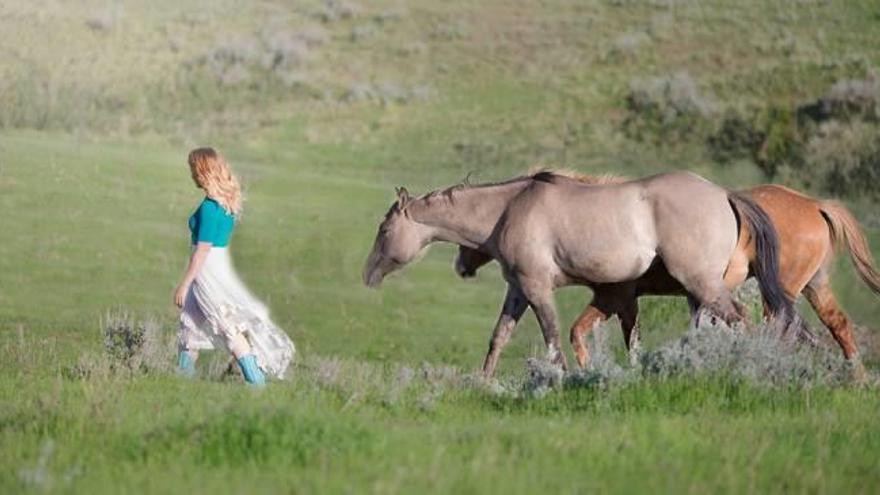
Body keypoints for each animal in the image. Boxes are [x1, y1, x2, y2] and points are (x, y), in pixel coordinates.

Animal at [364, 170, 792, 376]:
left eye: (384, 230)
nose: (368, 275)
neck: (510, 208)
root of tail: (725, 194)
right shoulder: (518, 290)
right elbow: (499, 338)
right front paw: (483, 383)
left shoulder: (538, 289)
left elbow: (553, 339)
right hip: (697, 291)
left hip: (701, 284)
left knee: (742, 321)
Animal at [458, 182, 876, 368]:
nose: (461, 265)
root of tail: (814, 203)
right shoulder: (624, 301)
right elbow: (629, 339)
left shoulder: (614, 296)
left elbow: (587, 332)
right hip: (811, 286)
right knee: (835, 325)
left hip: (780, 291)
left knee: (784, 329)